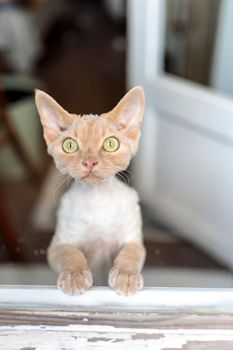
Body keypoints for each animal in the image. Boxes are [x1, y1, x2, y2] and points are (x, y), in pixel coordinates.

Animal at [35, 87, 146, 296]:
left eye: (111, 144)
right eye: (70, 145)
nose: (90, 162)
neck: (98, 198)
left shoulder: (132, 238)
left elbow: (130, 253)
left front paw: (126, 275)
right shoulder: (58, 245)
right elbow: (70, 252)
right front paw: (74, 275)